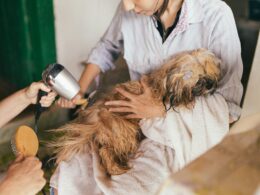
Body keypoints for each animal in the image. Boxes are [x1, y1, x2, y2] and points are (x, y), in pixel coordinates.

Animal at [52, 48, 221, 175]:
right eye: (199, 80)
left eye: (209, 73)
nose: (210, 85)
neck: (166, 80)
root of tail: (97, 120)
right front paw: (188, 101)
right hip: (126, 130)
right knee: (106, 151)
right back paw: (117, 167)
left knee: (105, 150)